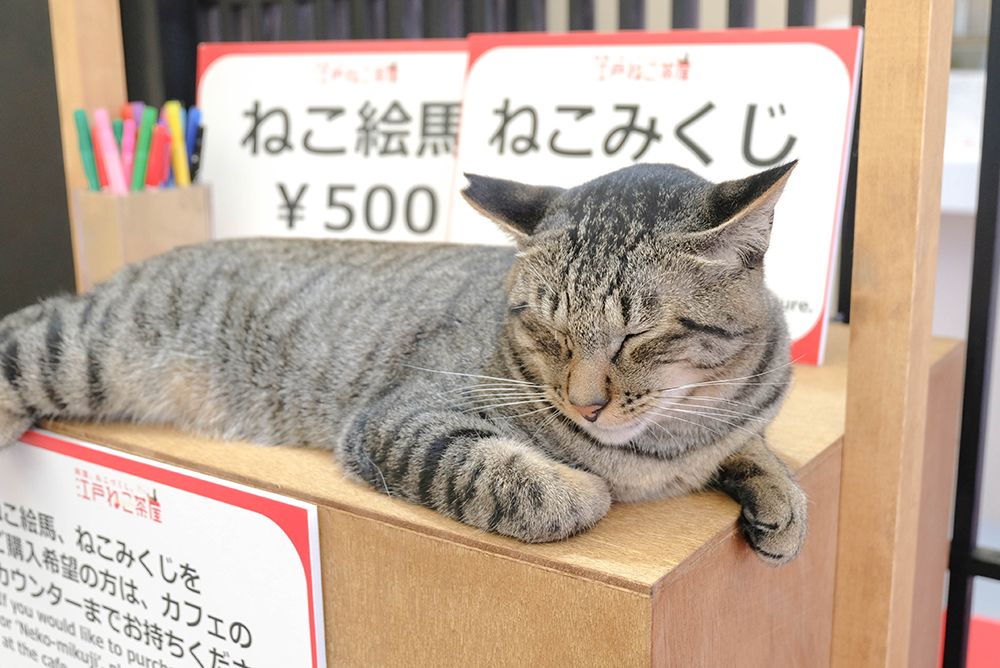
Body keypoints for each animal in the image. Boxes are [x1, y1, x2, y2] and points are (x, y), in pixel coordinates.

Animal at [0, 162, 808, 564]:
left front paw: (778, 495)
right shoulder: (401, 421)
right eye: (547, 327)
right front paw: (583, 485)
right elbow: (532, 487)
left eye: (638, 334)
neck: (660, 449)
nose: (585, 403)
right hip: (74, 349)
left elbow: (753, 446)